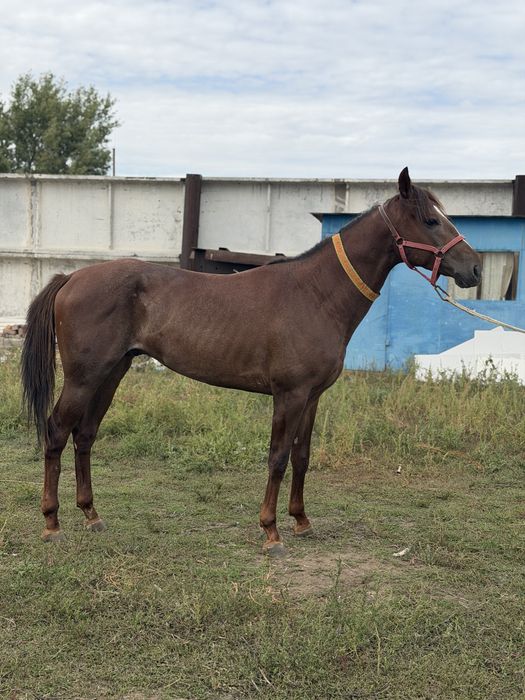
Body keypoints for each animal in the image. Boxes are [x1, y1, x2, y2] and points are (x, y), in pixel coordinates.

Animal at [21, 168, 482, 554]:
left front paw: (301, 521)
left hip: (112, 373)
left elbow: (301, 456)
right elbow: (277, 457)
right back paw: (51, 523)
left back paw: (91, 515)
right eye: (431, 221)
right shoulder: (289, 395)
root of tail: (71, 277)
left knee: (85, 435)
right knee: (57, 431)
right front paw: (271, 532)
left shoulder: (312, 397)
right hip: (84, 377)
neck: (316, 293)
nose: (475, 268)